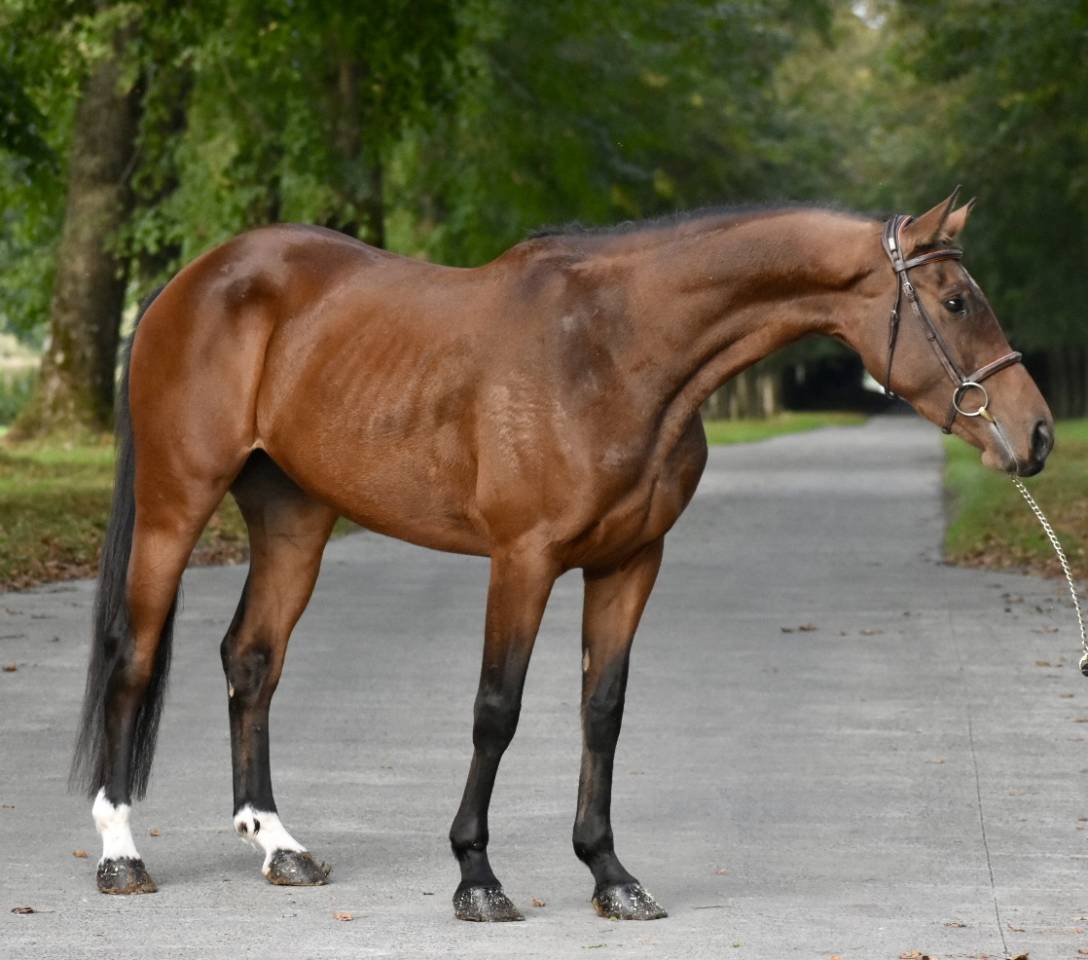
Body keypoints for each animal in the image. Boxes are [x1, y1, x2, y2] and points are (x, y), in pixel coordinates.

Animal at [71, 189, 1053, 921]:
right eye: (957, 302)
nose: (1037, 434)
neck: (613, 348)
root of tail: (191, 282)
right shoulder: (524, 559)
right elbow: (496, 711)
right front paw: (477, 878)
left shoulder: (631, 562)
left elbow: (602, 712)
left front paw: (611, 876)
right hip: (175, 502)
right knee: (133, 654)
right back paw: (121, 854)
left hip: (294, 517)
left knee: (252, 659)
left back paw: (279, 845)